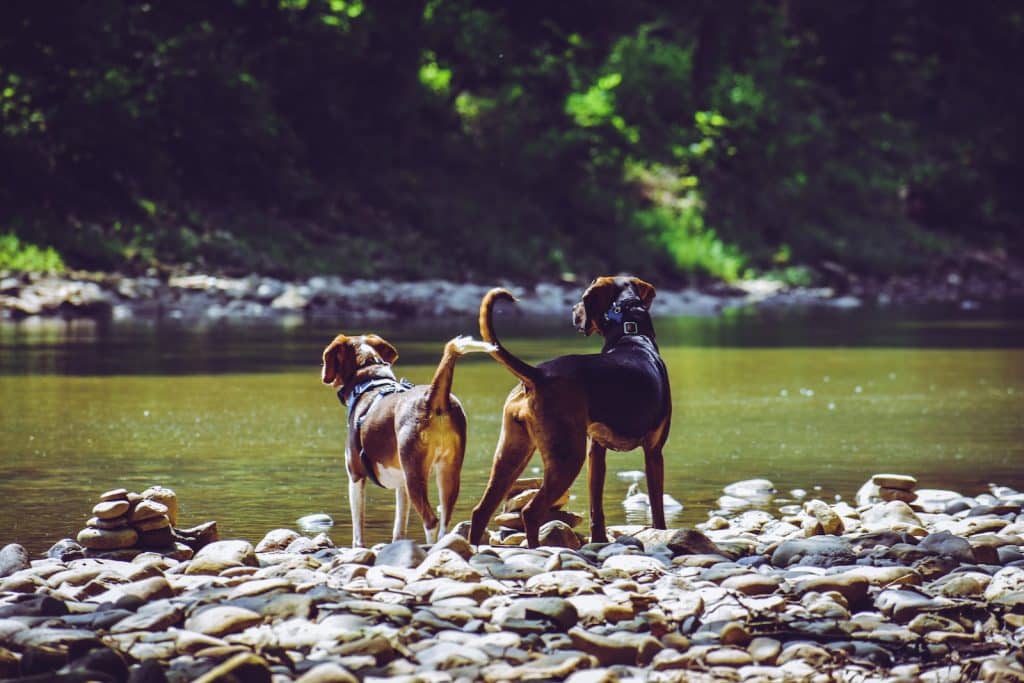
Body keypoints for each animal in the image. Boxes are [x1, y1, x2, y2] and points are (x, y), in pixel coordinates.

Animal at [321, 331, 493, 544]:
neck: (369, 381)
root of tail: (432, 398)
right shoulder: (401, 484)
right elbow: (399, 526)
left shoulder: (355, 475)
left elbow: (358, 529)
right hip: (448, 473)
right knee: (445, 520)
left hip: (415, 476)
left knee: (431, 521)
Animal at [468, 274, 671, 548]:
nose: (573, 311)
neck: (632, 335)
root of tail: (537, 374)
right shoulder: (654, 452)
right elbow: (657, 507)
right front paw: (661, 533)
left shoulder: (596, 452)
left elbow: (596, 508)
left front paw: (599, 540)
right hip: (567, 457)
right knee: (531, 511)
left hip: (511, 454)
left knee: (481, 511)